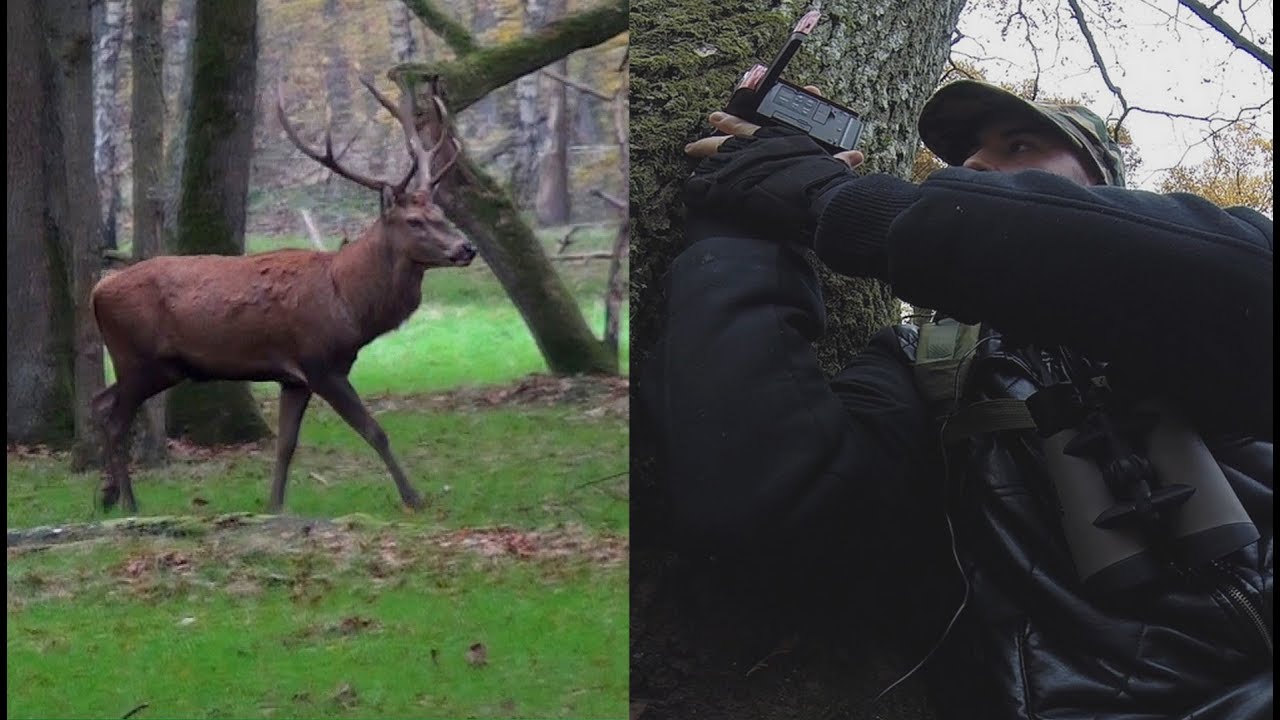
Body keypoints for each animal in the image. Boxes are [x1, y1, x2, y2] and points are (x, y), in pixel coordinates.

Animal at [90, 78, 475, 515]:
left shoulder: (295, 377)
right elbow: (374, 430)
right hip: (136, 357)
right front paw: (414, 498)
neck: (349, 304)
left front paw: (274, 506)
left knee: (100, 403)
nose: (465, 248)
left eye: (441, 214)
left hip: (159, 367)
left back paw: (107, 495)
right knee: (115, 420)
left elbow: (286, 445)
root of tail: (96, 291)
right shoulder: (320, 362)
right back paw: (129, 504)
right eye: (414, 221)